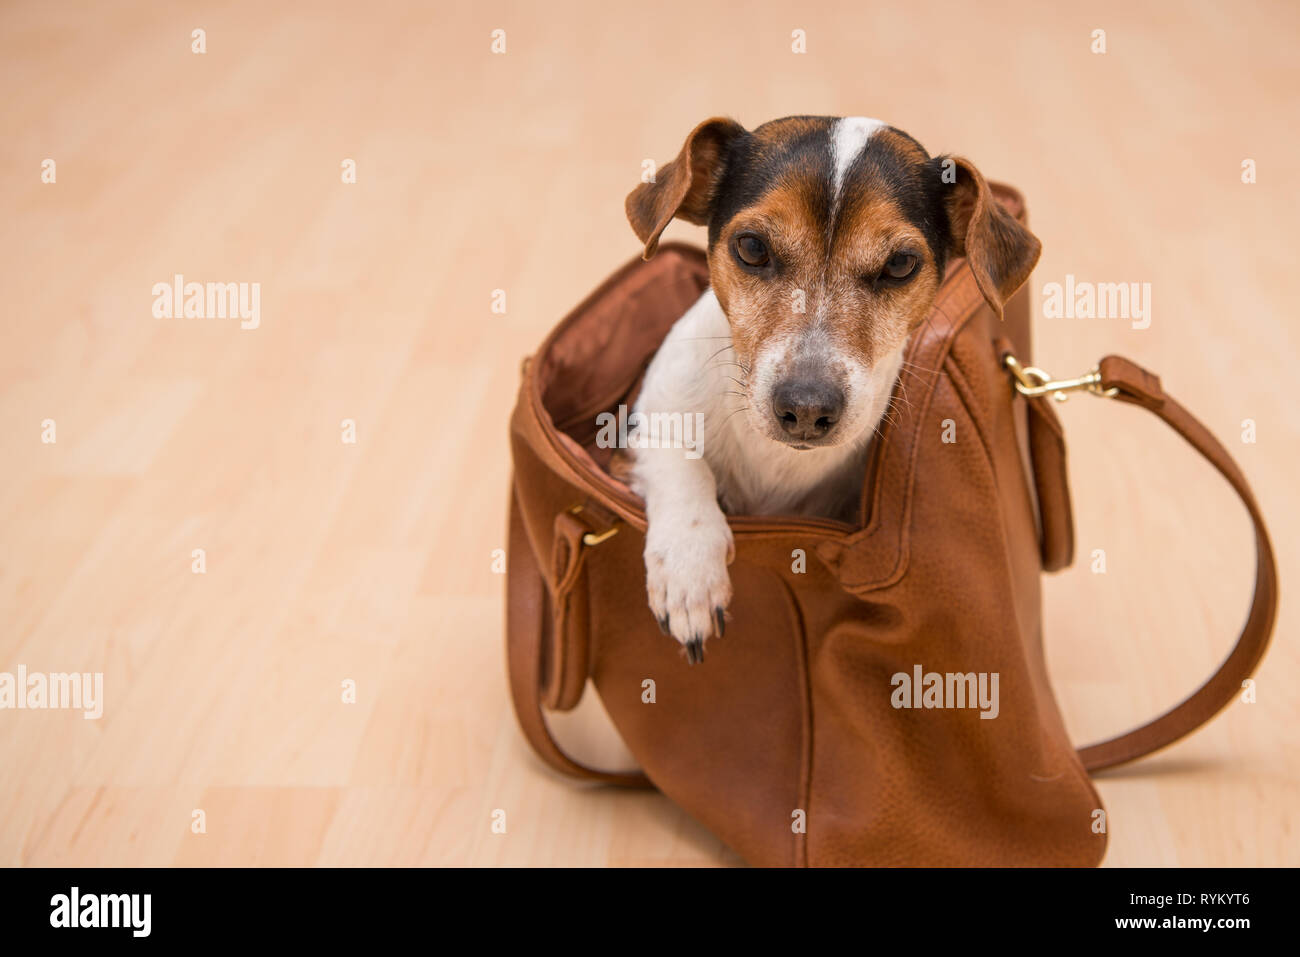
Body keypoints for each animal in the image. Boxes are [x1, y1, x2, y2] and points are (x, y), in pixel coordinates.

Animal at [624, 115, 1040, 660]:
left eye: (901, 264)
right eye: (752, 247)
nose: (805, 408)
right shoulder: (641, 427)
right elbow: (682, 465)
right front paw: (689, 570)